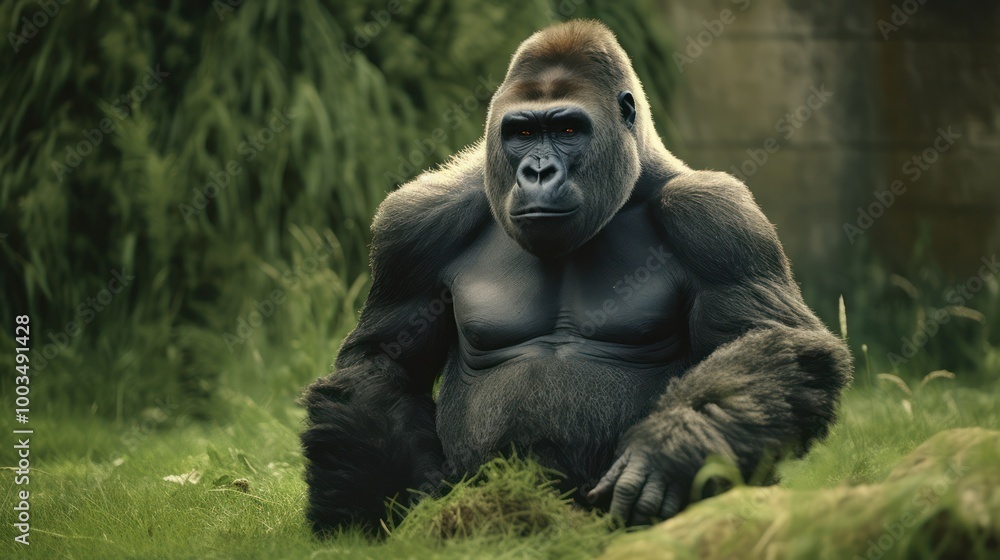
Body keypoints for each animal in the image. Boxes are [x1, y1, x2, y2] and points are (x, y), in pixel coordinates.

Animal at [300, 19, 852, 534]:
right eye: (522, 133)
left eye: (568, 130)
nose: (538, 172)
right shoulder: (414, 223)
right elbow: (383, 362)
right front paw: (380, 505)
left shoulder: (718, 217)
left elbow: (772, 338)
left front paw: (674, 447)